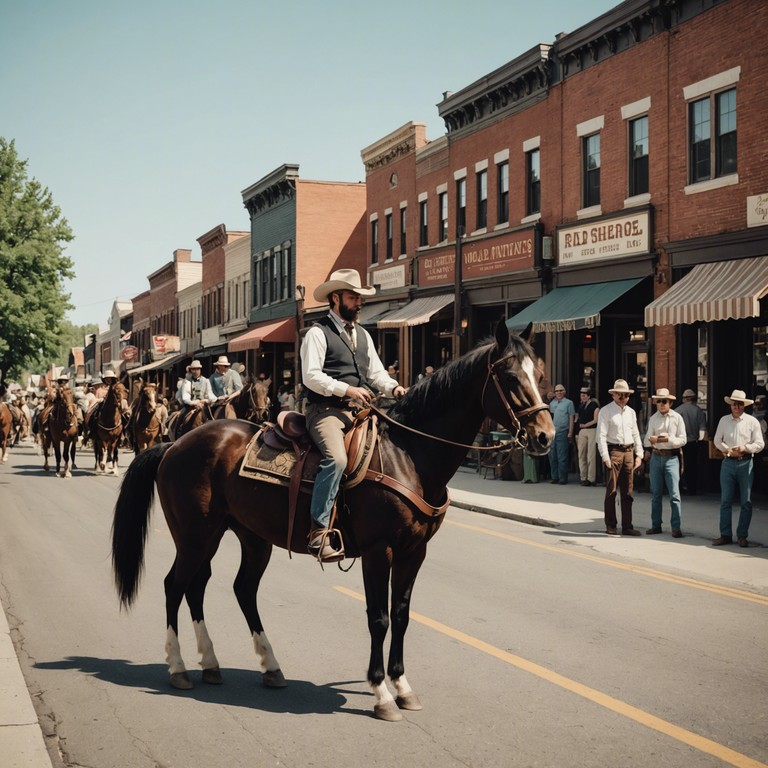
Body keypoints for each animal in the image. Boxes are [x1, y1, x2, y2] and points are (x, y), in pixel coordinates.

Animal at [111, 322, 552, 720]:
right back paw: (180, 667)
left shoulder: (414, 551)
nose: (545, 436)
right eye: (510, 376)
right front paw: (381, 693)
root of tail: (174, 445)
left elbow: (403, 615)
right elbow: (379, 617)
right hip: (194, 534)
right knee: (176, 586)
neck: (409, 455)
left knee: (223, 588)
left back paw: (243, 664)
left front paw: (402, 686)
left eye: (541, 374)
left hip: (246, 536)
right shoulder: (378, 551)